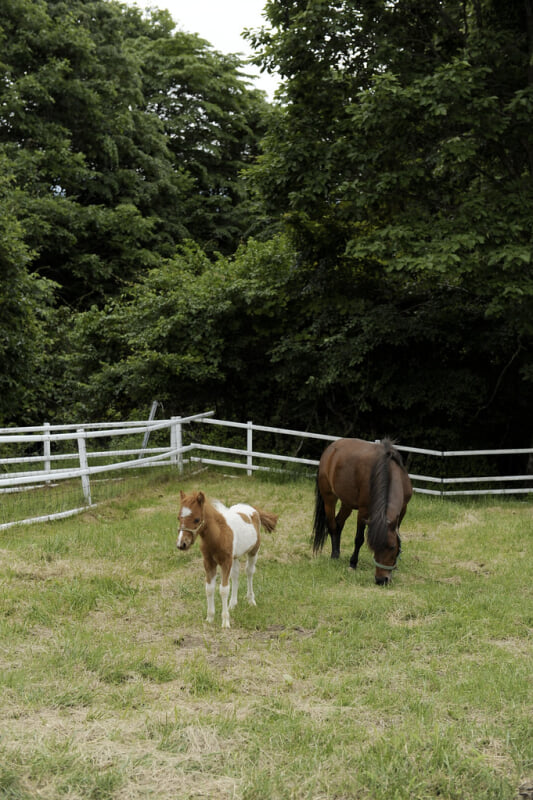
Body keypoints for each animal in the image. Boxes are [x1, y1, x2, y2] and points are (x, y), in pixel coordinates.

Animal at [178, 490, 278, 628]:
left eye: (197, 519)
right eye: (178, 517)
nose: (182, 544)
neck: (218, 535)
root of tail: (253, 509)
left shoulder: (225, 562)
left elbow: (224, 590)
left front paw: (225, 622)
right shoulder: (209, 562)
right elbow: (209, 588)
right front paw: (210, 618)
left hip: (253, 551)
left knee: (249, 572)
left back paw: (251, 600)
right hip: (235, 557)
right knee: (235, 575)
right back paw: (232, 604)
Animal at [312, 440, 412, 584]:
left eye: (392, 547)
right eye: (373, 547)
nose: (381, 580)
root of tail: (331, 448)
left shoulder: (403, 509)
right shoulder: (364, 511)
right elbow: (359, 539)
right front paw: (353, 563)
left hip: (347, 503)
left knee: (339, 523)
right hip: (329, 498)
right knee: (332, 525)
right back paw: (335, 555)